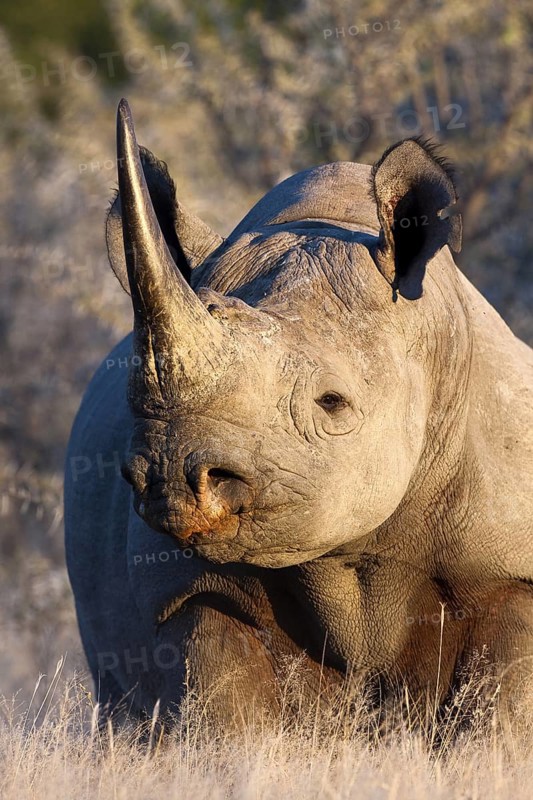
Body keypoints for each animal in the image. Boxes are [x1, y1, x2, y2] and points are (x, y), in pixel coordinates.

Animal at [65, 99, 533, 731]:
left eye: (332, 403)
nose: (174, 477)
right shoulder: (187, 588)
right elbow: (225, 712)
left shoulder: (510, 568)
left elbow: (500, 712)